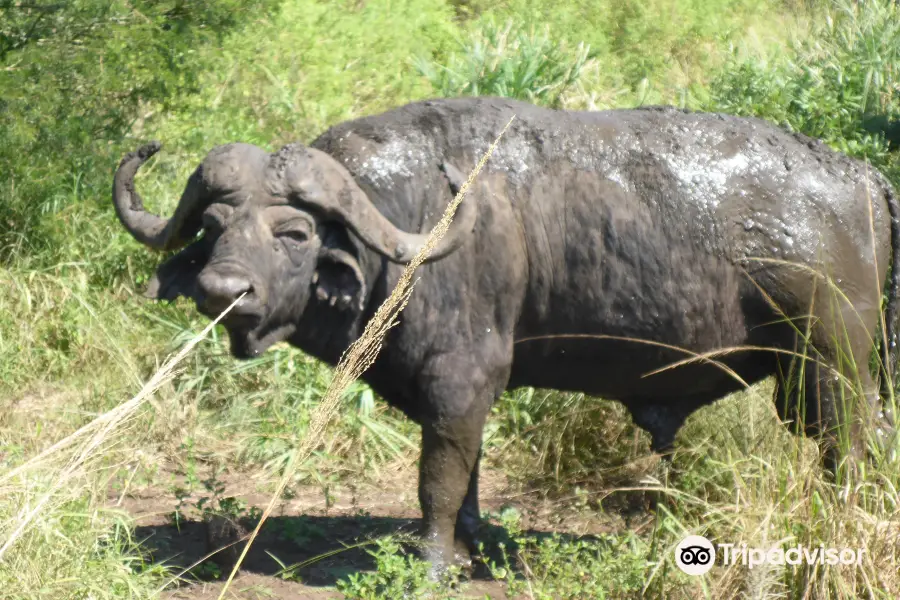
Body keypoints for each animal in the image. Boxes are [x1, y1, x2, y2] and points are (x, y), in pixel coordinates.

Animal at [112, 97, 900, 572]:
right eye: (215, 226)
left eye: (294, 232)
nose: (223, 293)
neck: (417, 227)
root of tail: (862, 177)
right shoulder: (464, 397)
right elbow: (467, 473)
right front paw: (473, 544)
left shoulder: (457, 382)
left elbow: (436, 477)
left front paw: (434, 561)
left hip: (831, 367)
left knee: (849, 449)